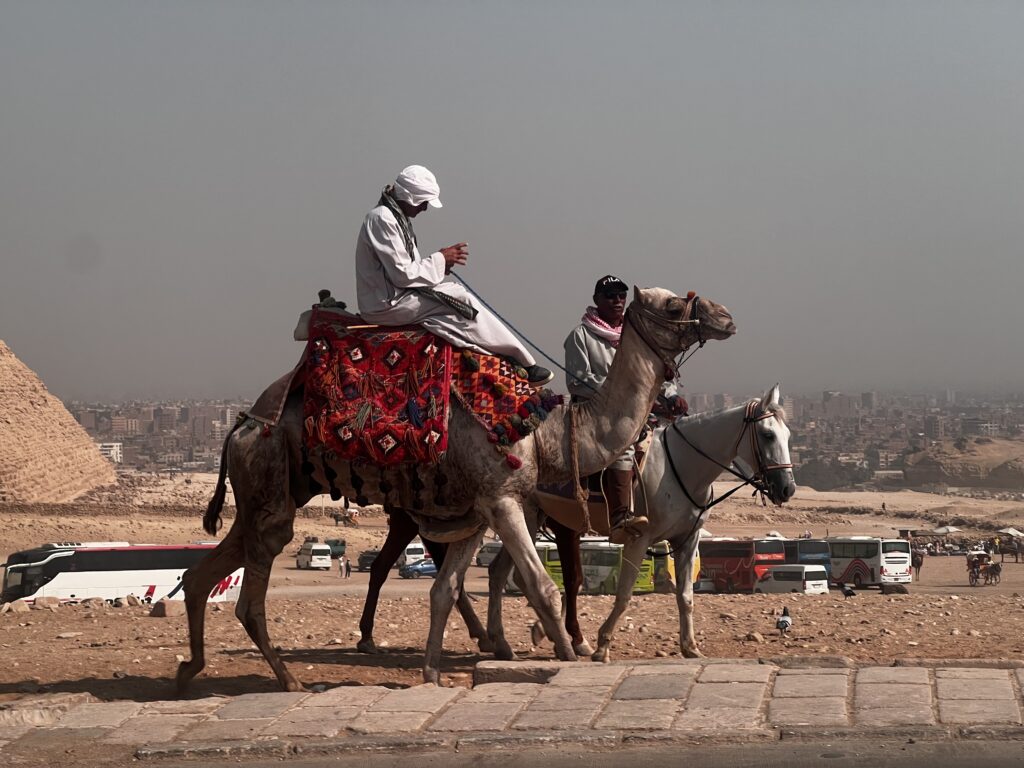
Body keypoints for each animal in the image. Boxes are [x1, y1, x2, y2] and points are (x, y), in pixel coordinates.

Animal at [178, 286, 737, 692]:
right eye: (673, 304)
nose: (725, 315)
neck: (547, 433)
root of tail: (241, 423)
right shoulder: (503, 500)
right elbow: (544, 586)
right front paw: (571, 656)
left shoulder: (478, 510)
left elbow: (444, 590)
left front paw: (431, 674)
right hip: (271, 478)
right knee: (253, 584)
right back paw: (288, 679)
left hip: (267, 492)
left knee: (205, 570)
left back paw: (190, 671)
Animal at [483, 385, 794, 663]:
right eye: (767, 435)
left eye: (788, 435)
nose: (787, 488)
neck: (681, 465)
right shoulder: (638, 538)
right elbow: (623, 594)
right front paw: (603, 646)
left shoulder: (687, 540)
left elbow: (685, 596)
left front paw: (690, 647)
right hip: (526, 515)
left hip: (533, 518)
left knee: (501, 572)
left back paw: (505, 641)